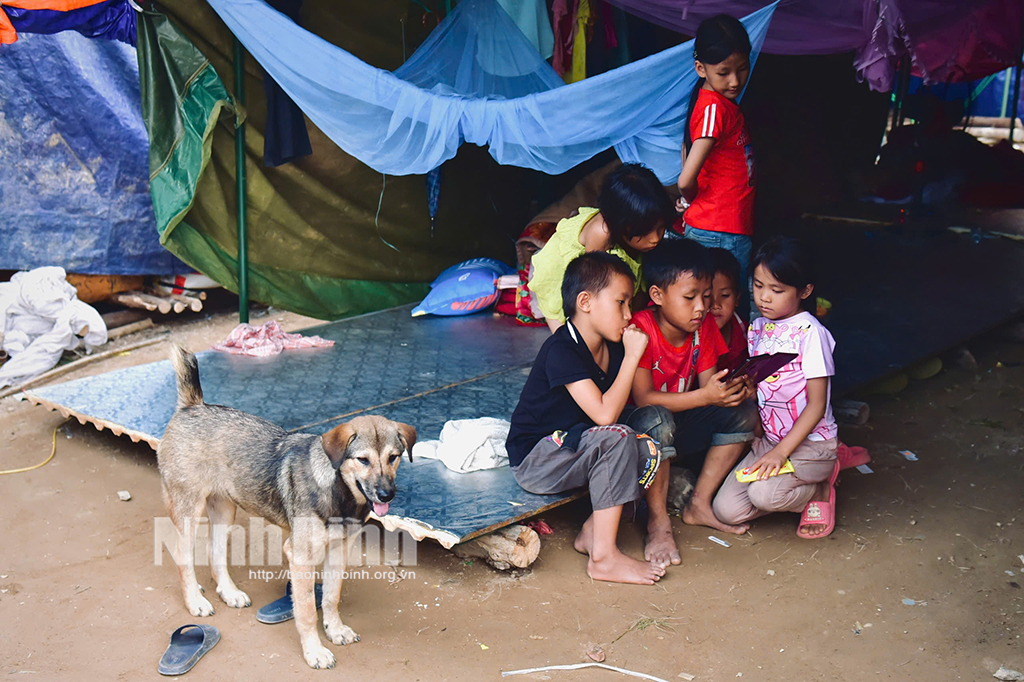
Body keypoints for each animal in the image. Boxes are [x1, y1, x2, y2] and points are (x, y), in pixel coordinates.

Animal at [157, 348, 413, 667]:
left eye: (394, 457)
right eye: (363, 460)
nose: (386, 495)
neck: (337, 491)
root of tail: (192, 406)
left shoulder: (339, 551)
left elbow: (331, 598)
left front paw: (335, 630)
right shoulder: (300, 557)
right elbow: (306, 611)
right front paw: (314, 651)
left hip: (225, 510)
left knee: (214, 552)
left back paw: (229, 592)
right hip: (188, 509)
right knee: (183, 556)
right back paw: (195, 600)